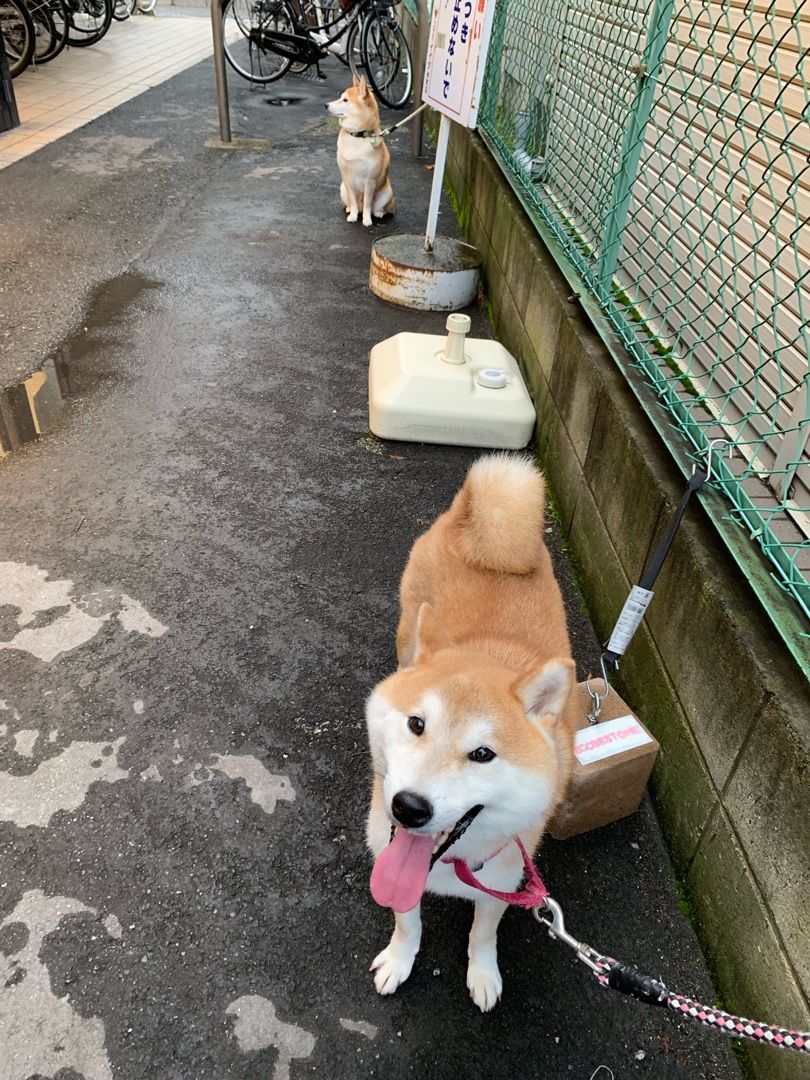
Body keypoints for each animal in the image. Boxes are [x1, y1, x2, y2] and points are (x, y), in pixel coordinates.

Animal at [326, 76, 397, 230]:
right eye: (341, 98)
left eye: (345, 100)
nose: (326, 105)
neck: (357, 136)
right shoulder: (347, 179)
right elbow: (353, 200)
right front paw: (353, 215)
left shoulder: (369, 181)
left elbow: (367, 204)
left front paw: (366, 219)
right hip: (342, 189)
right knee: (354, 204)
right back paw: (350, 209)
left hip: (387, 193)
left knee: (374, 207)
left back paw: (378, 213)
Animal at [365, 453, 578, 1010]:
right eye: (417, 724)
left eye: (483, 754)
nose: (408, 807)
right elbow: (407, 922)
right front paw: (399, 959)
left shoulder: (504, 880)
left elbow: (483, 934)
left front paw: (483, 974)